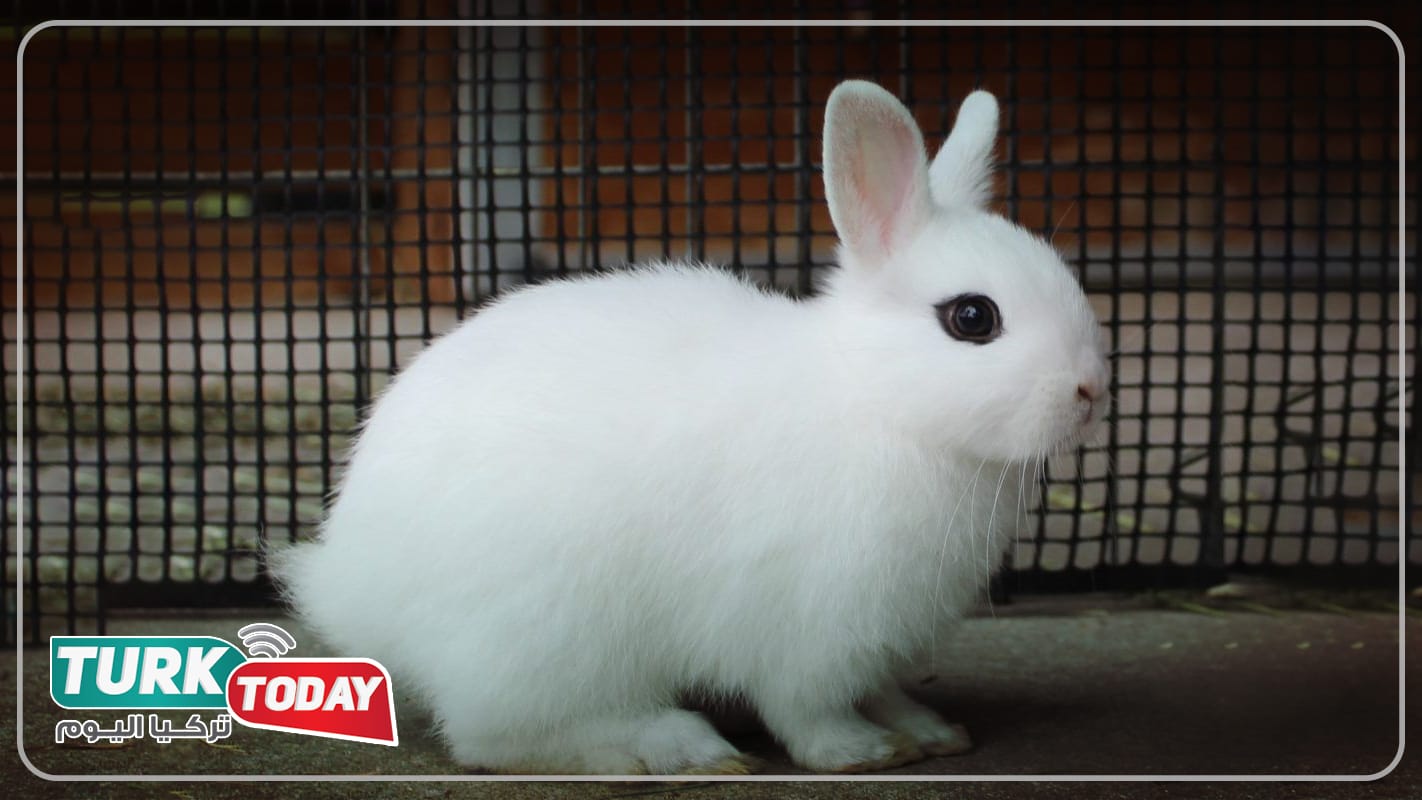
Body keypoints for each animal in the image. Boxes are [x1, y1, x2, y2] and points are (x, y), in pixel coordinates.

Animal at [272, 79, 1110, 775]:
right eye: (972, 318)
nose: (1091, 389)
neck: (877, 403)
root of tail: (355, 587)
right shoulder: (809, 628)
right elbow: (809, 710)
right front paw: (862, 752)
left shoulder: (878, 640)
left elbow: (882, 690)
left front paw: (928, 731)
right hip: (543, 636)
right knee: (495, 736)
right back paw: (673, 746)